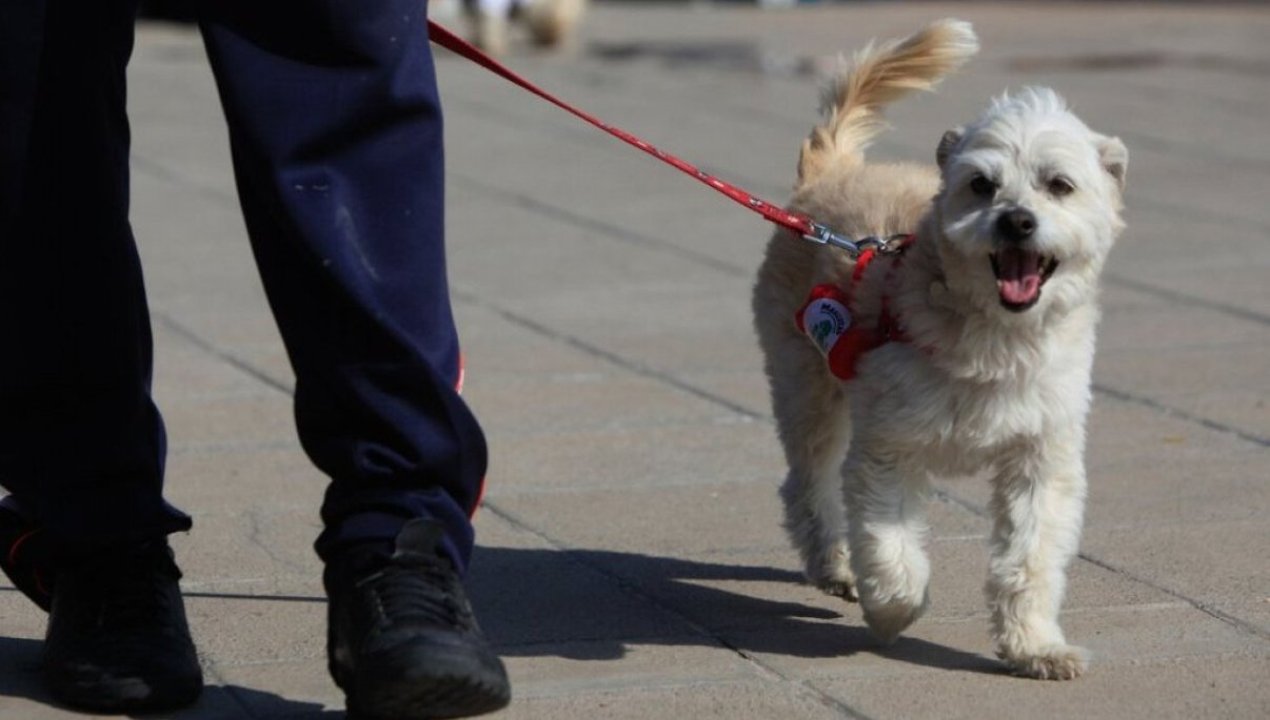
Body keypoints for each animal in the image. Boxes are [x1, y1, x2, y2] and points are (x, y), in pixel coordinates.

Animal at [746, 18, 1127, 680]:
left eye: (1059, 185)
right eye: (981, 185)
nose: (1017, 221)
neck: (993, 337)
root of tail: (831, 171)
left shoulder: (1041, 461)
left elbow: (1028, 561)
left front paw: (1034, 646)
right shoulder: (888, 451)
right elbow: (891, 549)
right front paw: (892, 611)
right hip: (806, 389)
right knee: (808, 483)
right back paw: (834, 563)